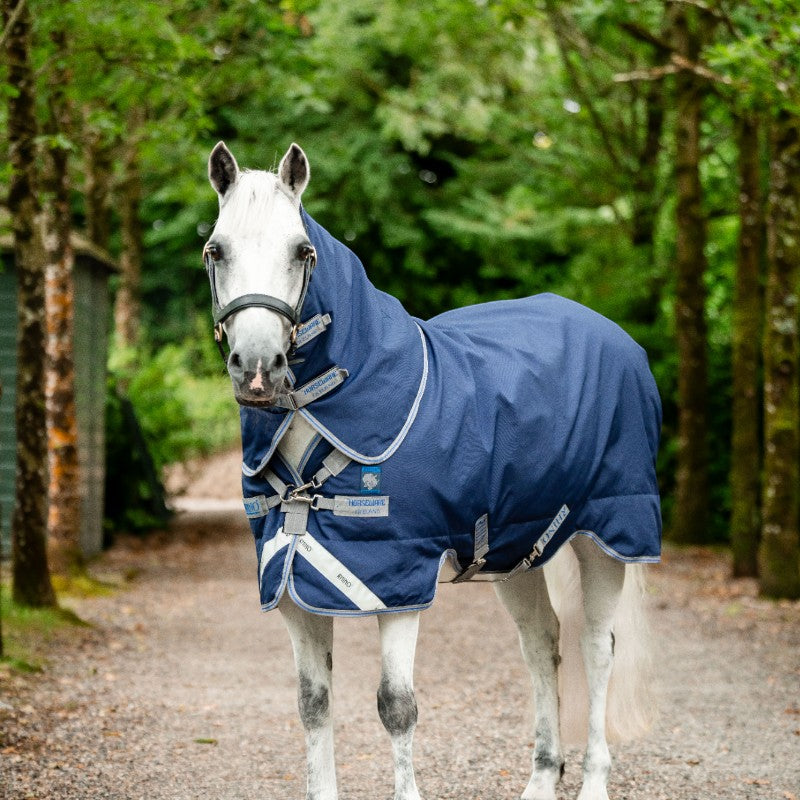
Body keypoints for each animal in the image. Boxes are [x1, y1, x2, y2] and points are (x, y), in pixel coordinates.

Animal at [202, 141, 662, 800]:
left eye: (302, 251)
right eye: (216, 249)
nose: (259, 368)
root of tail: (617, 338)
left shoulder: (397, 583)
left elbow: (396, 706)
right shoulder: (290, 585)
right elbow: (313, 705)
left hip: (607, 535)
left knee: (598, 648)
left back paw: (594, 781)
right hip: (516, 548)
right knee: (541, 643)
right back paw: (540, 778)